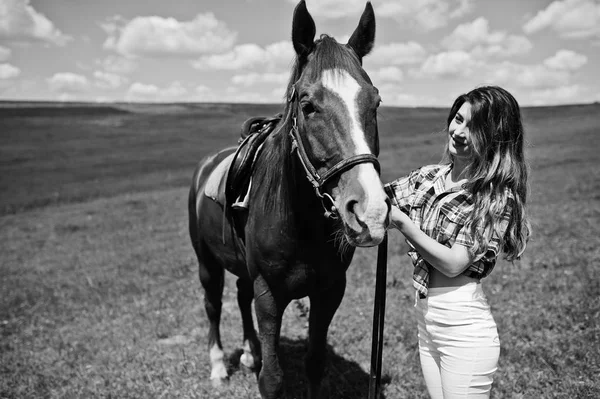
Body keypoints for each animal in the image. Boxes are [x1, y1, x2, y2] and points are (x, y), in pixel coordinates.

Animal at [190, 1, 392, 398]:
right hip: (207, 262)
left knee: (240, 295)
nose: (370, 211)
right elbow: (272, 378)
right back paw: (219, 367)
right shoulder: (270, 295)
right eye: (308, 105)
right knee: (213, 305)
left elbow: (315, 364)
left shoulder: (329, 291)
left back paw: (250, 353)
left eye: (375, 102)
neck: (301, 222)